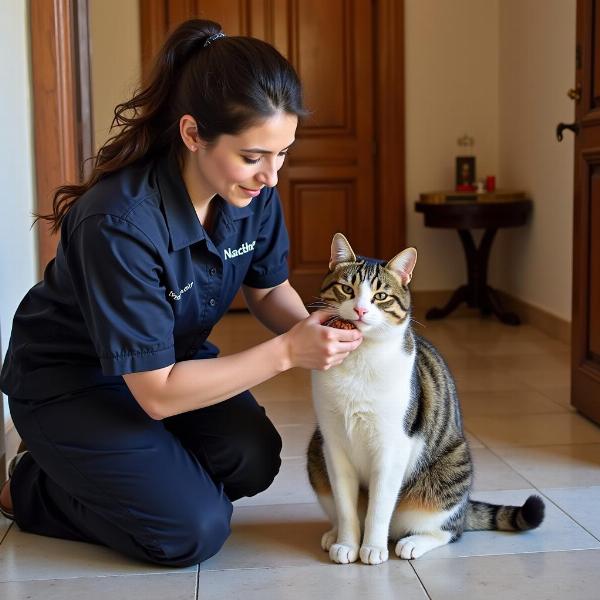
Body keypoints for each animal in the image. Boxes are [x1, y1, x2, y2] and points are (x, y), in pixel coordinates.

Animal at [308, 232, 548, 564]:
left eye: (380, 296)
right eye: (347, 289)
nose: (360, 310)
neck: (359, 361)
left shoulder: (392, 446)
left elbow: (379, 508)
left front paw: (372, 548)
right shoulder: (333, 445)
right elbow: (346, 507)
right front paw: (346, 543)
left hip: (448, 471)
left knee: (448, 529)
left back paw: (412, 543)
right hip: (314, 453)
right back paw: (334, 535)